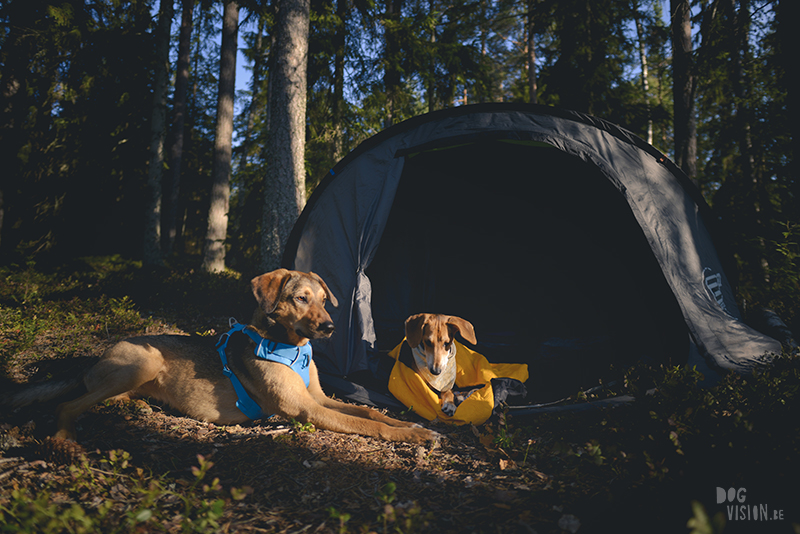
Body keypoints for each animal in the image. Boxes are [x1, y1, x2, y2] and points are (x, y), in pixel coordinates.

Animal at [7, 270, 438, 446]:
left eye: (321, 298)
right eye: (301, 298)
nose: (331, 327)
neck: (289, 347)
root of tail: (99, 355)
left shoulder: (318, 398)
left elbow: (369, 412)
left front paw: (411, 425)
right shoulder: (305, 408)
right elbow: (369, 424)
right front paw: (410, 435)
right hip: (142, 363)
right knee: (66, 405)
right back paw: (63, 440)